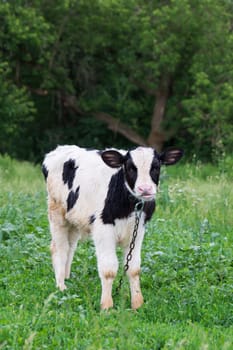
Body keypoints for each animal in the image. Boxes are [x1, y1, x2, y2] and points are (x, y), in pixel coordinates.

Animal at [42, 145, 184, 308]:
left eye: (156, 167)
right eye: (130, 168)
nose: (145, 189)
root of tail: (60, 149)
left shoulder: (138, 229)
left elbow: (134, 269)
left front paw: (137, 303)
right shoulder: (103, 229)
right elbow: (108, 269)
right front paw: (107, 305)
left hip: (74, 219)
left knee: (70, 247)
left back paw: (67, 277)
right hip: (57, 212)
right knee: (60, 248)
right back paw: (61, 286)